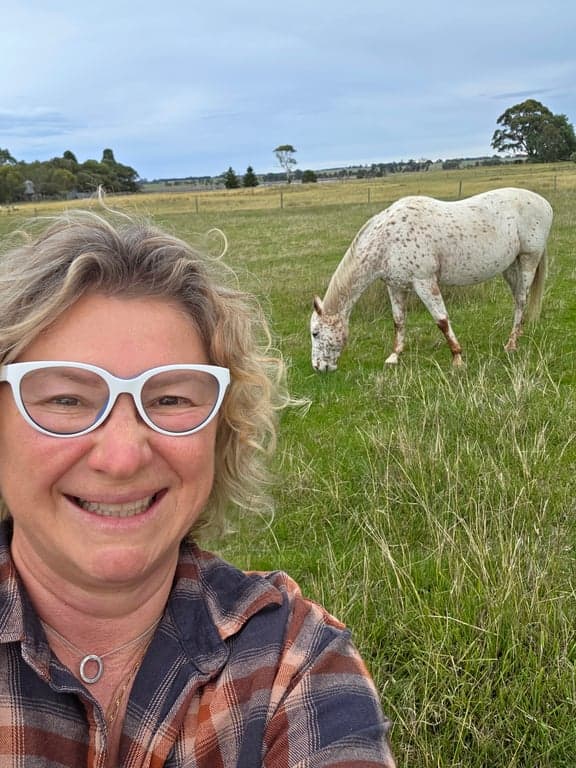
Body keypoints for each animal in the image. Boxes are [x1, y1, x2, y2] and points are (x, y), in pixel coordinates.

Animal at [310, 187, 553, 371]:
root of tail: (545, 203)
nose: (319, 367)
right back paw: (517, 335)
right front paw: (394, 356)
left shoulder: (425, 282)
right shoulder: (396, 287)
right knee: (518, 300)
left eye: (315, 333)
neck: (387, 240)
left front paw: (457, 358)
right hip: (510, 267)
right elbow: (398, 321)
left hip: (528, 260)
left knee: (521, 300)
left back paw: (511, 344)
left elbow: (442, 321)